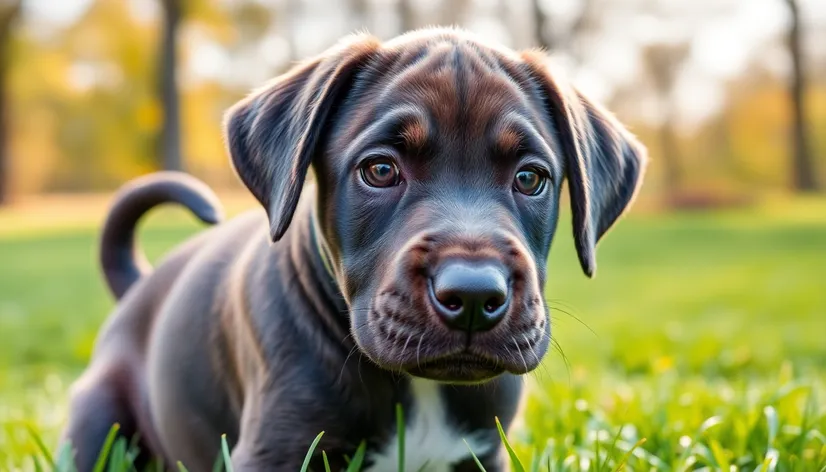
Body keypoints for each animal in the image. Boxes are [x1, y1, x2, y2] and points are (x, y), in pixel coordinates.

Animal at [62, 27, 644, 470]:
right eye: (380, 170)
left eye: (530, 178)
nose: (475, 296)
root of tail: (139, 287)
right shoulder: (276, 450)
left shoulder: (483, 452)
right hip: (98, 420)